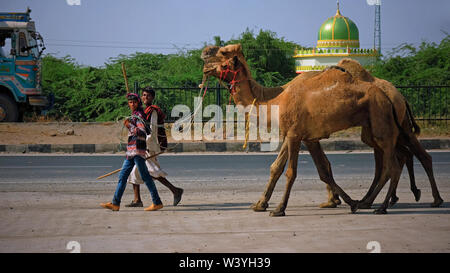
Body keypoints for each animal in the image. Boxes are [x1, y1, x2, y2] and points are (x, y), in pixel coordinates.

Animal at [202, 43, 410, 216]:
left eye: (223, 54)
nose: (204, 55)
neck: (275, 101)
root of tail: (392, 95)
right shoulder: (296, 135)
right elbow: (281, 168)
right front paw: (260, 204)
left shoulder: (295, 134)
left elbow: (291, 172)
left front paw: (279, 209)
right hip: (374, 127)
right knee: (391, 163)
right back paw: (372, 202)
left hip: (381, 123)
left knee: (392, 166)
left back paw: (380, 206)